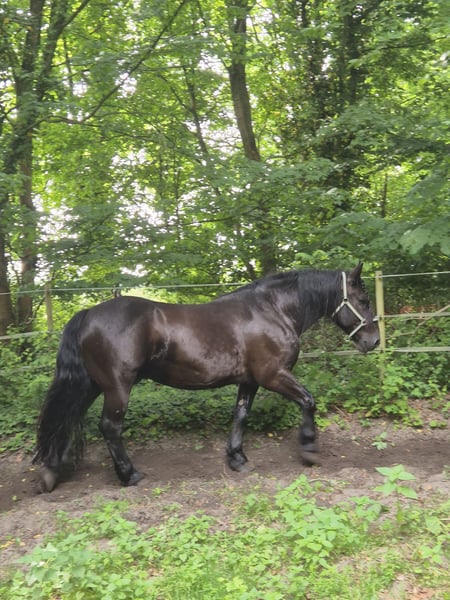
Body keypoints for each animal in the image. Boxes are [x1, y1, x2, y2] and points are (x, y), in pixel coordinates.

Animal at [33, 264, 379, 492]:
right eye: (363, 300)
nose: (374, 341)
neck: (272, 311)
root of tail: (89, 314)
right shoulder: (273, 375)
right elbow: (308, 401)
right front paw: (308, 450)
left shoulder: (250, 380)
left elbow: (241, 416)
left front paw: (237, 458)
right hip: (117, 386)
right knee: (108, 427)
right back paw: (128, 474)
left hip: (92, 384)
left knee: (66, 418)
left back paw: (52, 471)